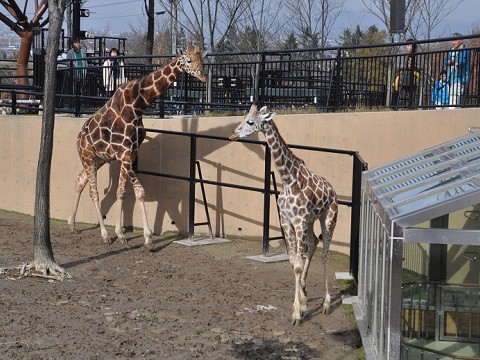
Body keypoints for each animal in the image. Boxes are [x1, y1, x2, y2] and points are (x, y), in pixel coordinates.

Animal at [68, 43, 207, 250]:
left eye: (202, 59)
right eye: (188, 60)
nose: (203, 76)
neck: (138, 104)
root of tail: (78, 138)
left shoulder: (131, 153)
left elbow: (122, 192)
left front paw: (121, 234)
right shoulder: (124, 154)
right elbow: (139, 192)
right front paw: (148, 239)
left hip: (99, 159)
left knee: (79, 180)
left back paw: (73, 224)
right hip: (88, 157)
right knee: (93, 192)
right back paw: (104, 235)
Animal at [229, 104, 338, 326]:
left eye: (251, 121)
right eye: (243, 117)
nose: (233, 134)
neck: (288, 179)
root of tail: (332, 189)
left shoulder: (299, 220)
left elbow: (297, 264)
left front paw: (296, 314)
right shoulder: (287, 220)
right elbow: (293, 261)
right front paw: (302, 306)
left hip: (328, 218)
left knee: (324, 253)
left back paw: (326, 303)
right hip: (311, 221)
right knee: (313, 243)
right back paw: (305, 291)